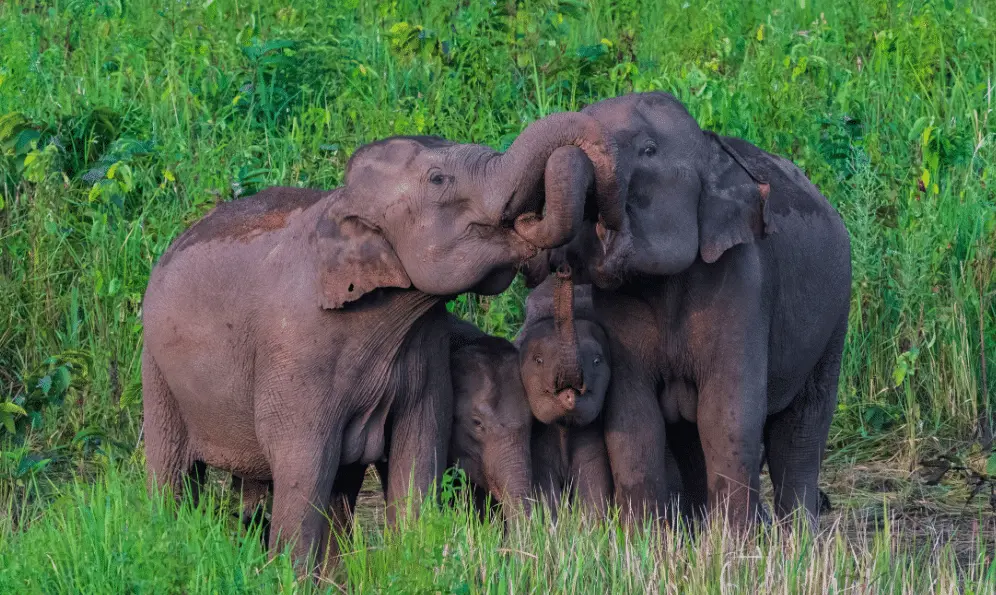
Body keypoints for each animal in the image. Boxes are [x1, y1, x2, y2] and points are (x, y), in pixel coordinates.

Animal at [138, 112, 624, 572]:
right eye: (438, 179)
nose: (562, 264)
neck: (342, 202)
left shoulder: (425, 346)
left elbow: (419, 450)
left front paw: (416, 561)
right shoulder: (293, 350)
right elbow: (302, 463)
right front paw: (289, 577)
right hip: (155, 366)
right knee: (173, 470)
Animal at [524, 91, 852, 528]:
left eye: (648, 150)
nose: (559, 265)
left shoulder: (744, 284)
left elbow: (727, 413)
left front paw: (733, 542)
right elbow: (633, 417)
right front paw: (641, 536)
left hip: (835, 319)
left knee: (802, 427)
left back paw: (798, 535)